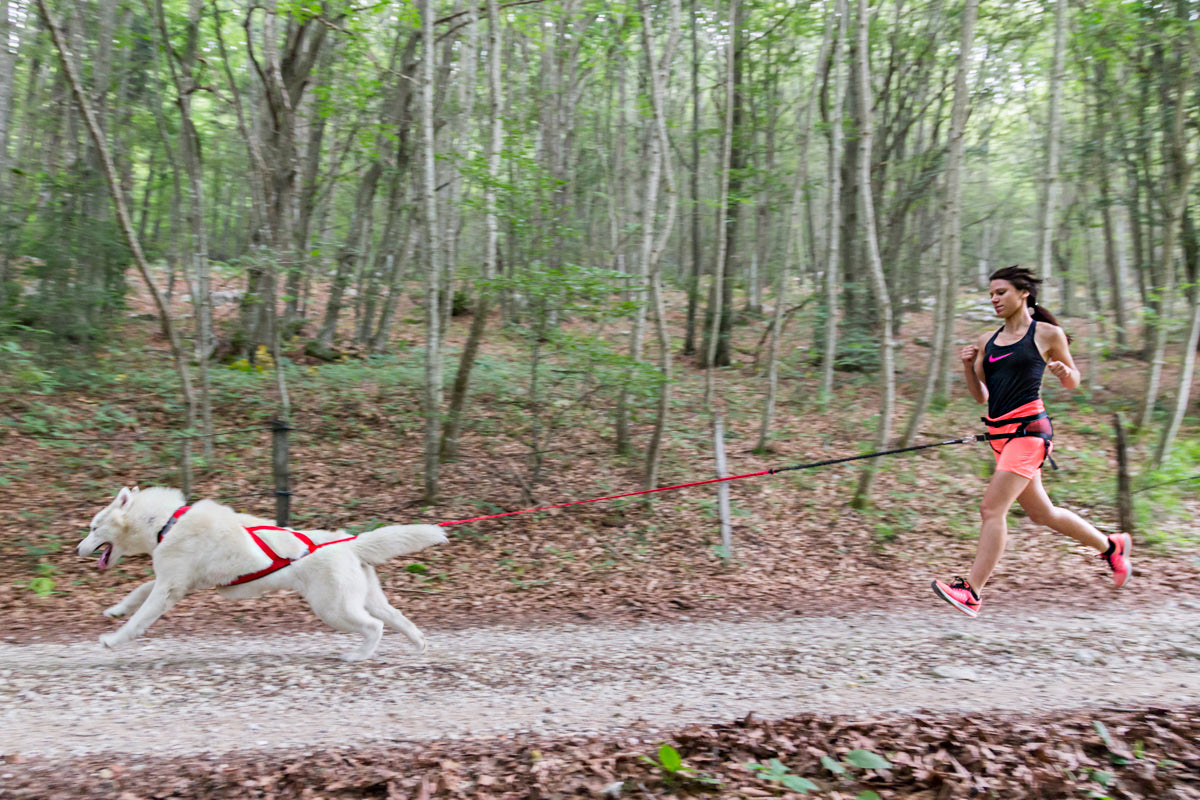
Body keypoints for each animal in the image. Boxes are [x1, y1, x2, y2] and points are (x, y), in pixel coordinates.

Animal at [77, 484, 448, 662]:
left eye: (94, 528)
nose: (77, 549)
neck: (166, 523)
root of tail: (352, 543)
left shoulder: (169, 588)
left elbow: (139, 618)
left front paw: (113, 639)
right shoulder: (173, 581)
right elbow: (138, 591)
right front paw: (116, 609)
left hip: (334, 608)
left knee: (375, 627)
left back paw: (358, 655)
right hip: (366, 599)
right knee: (398, 618)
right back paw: (420, 645)